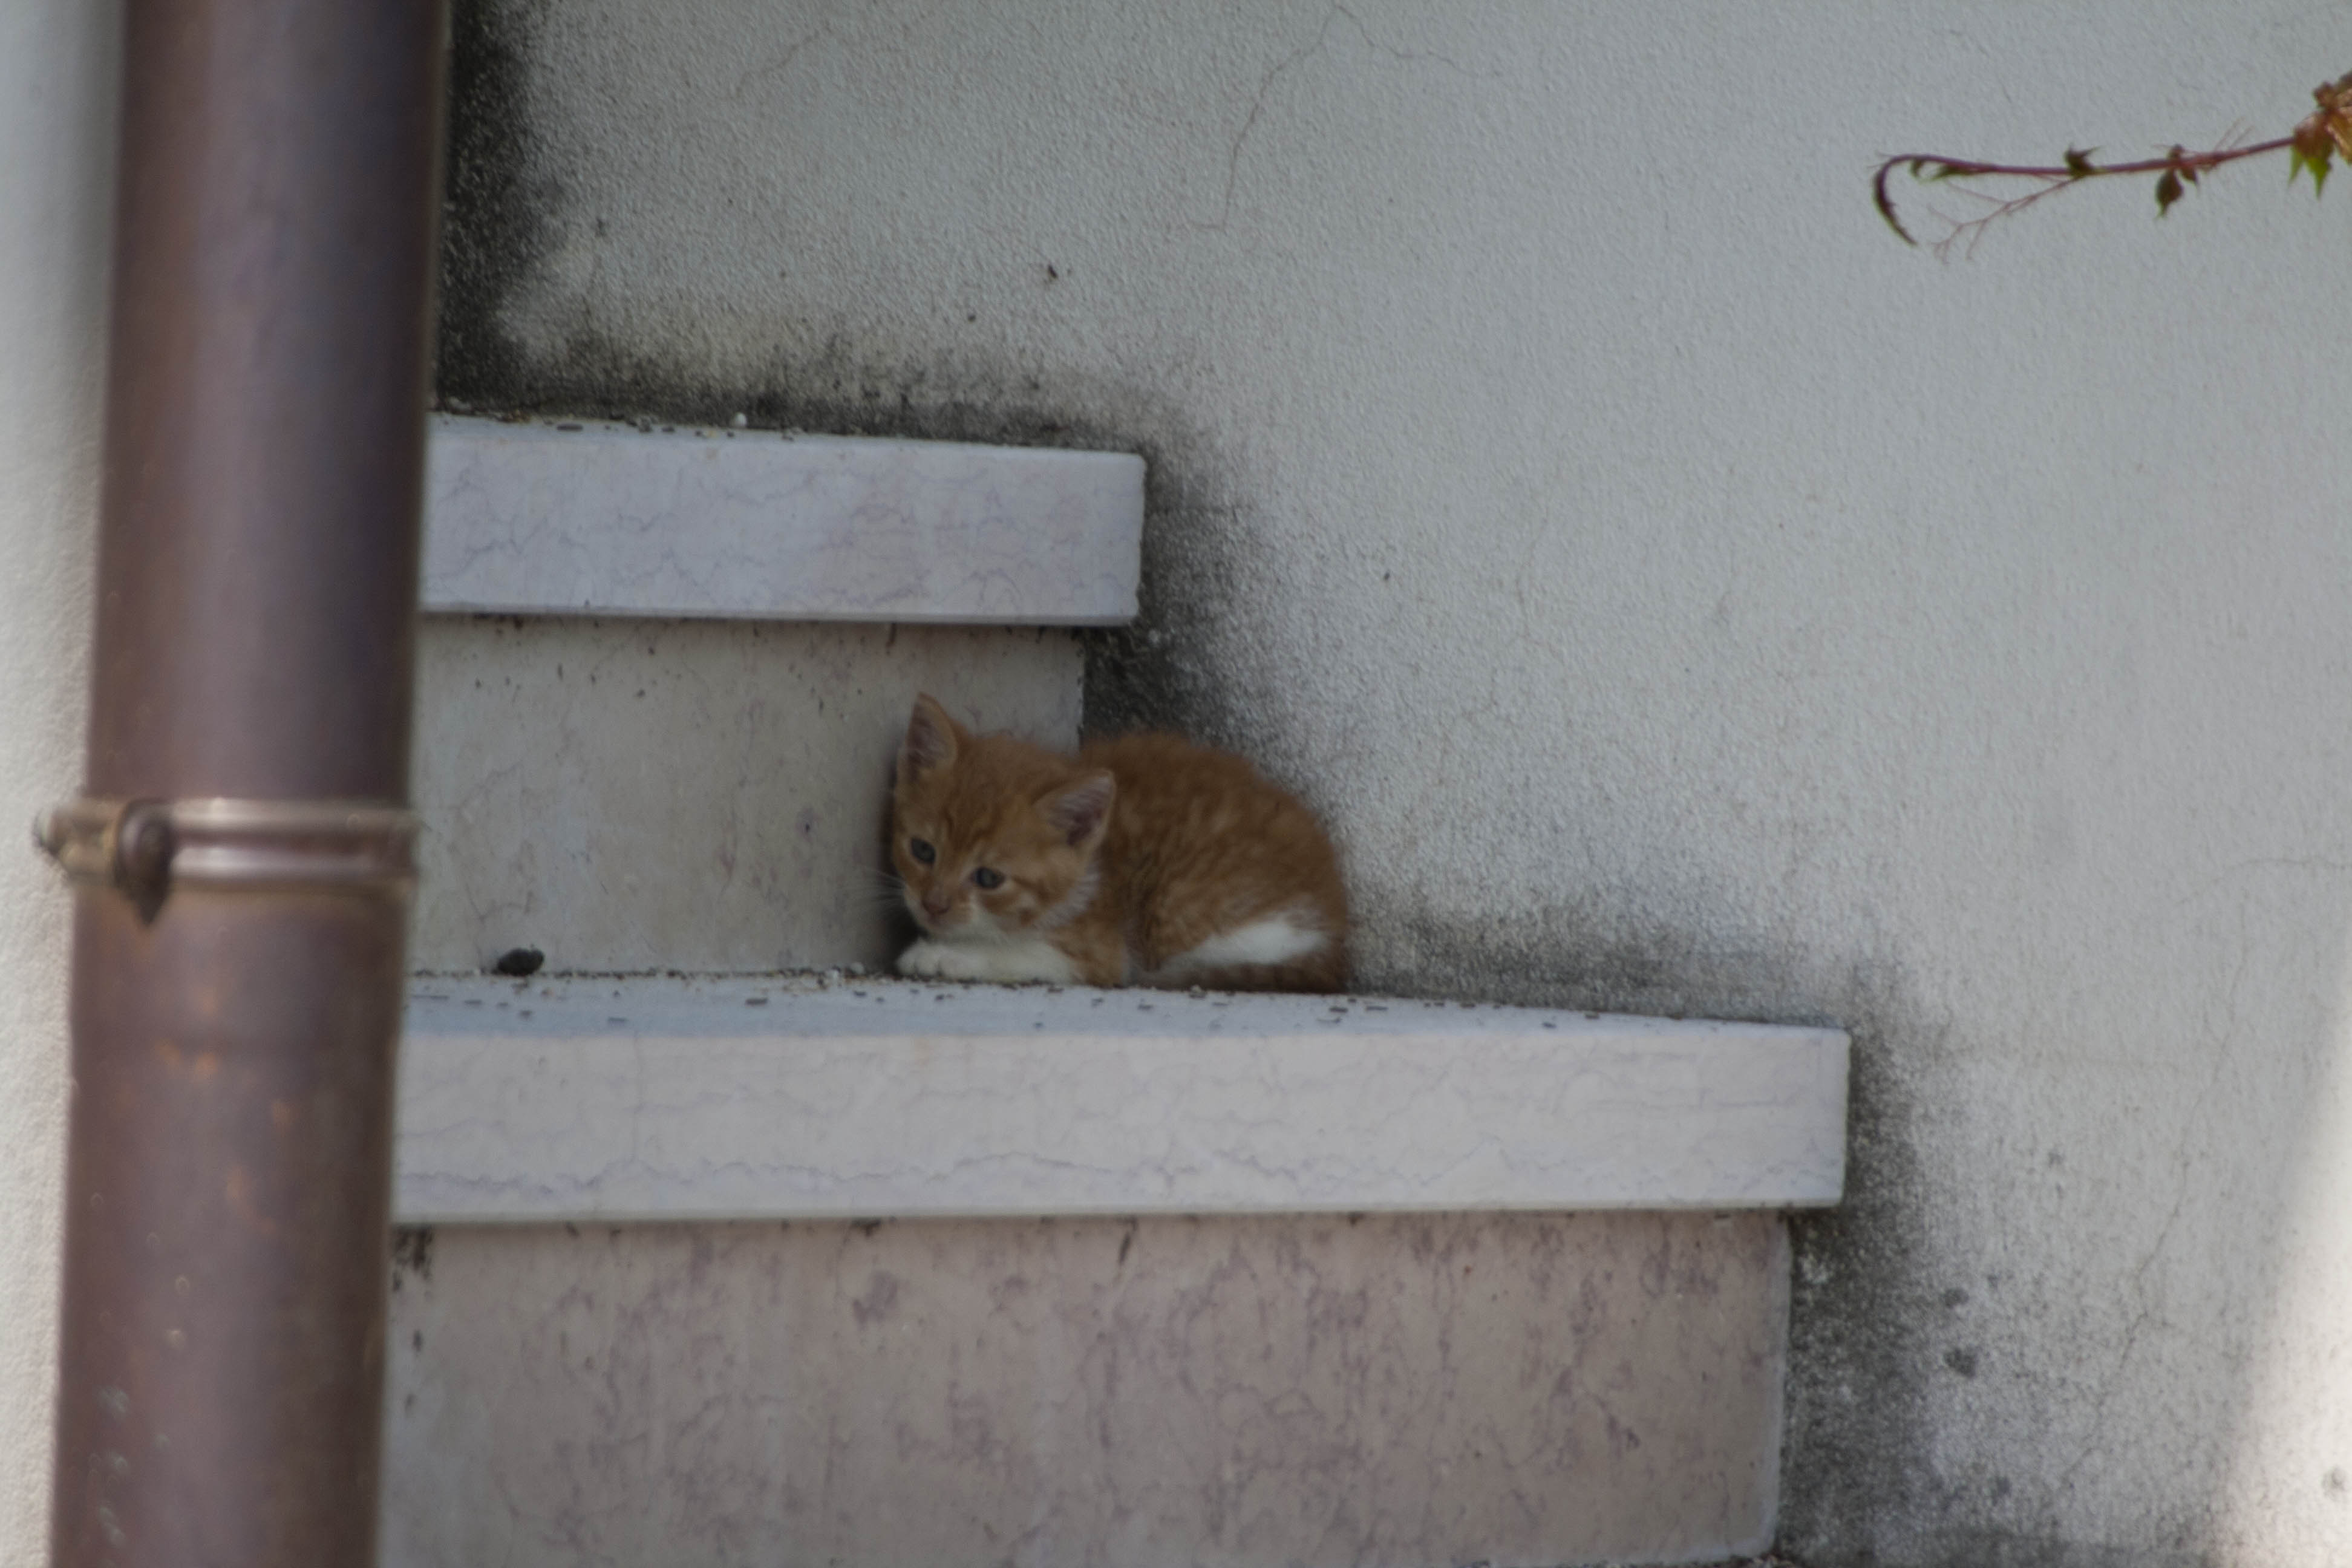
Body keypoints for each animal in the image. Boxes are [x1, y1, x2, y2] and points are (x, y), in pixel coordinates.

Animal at [889, 701, 1354, 991]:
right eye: (923, 851)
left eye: (988, 877)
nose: (934, 905)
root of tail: (1333, 942)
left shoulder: (1099, 949)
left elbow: (1026, 952)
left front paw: (943, 956)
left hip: (1179, 909)